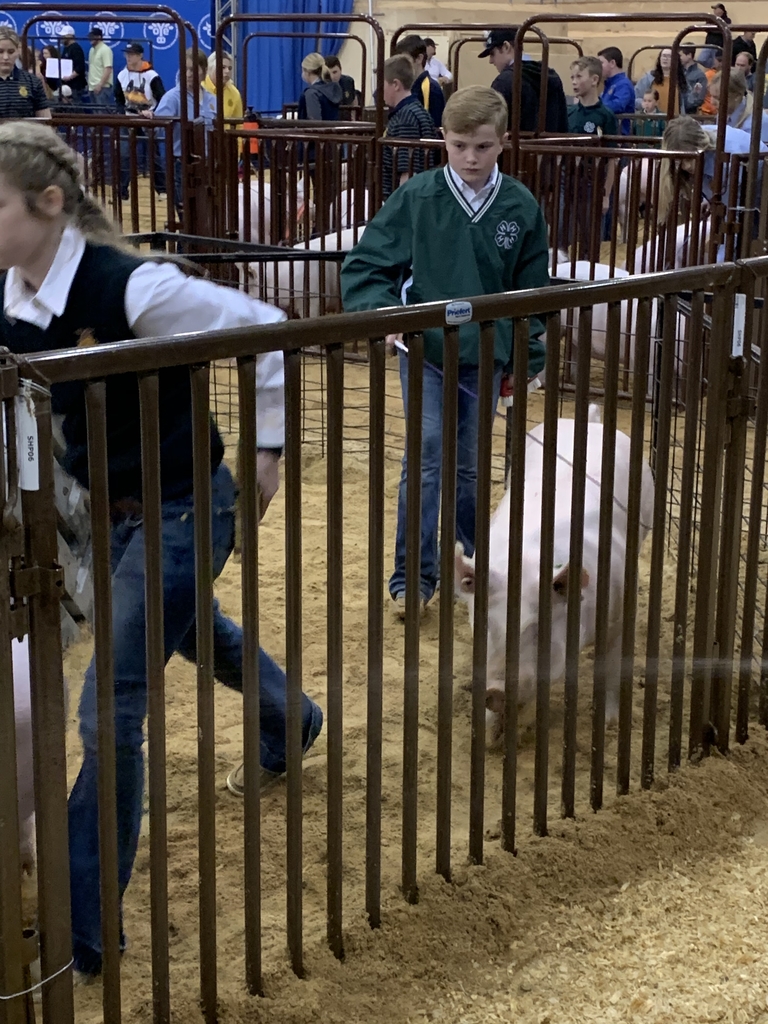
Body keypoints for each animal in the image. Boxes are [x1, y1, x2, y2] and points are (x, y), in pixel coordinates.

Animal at [454, 403, 659, 749]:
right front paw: (491, 737)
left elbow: (610, 666)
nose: (495, 690)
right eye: (486, 624)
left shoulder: (618, 612)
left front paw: (608, 724)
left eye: (538, 628)